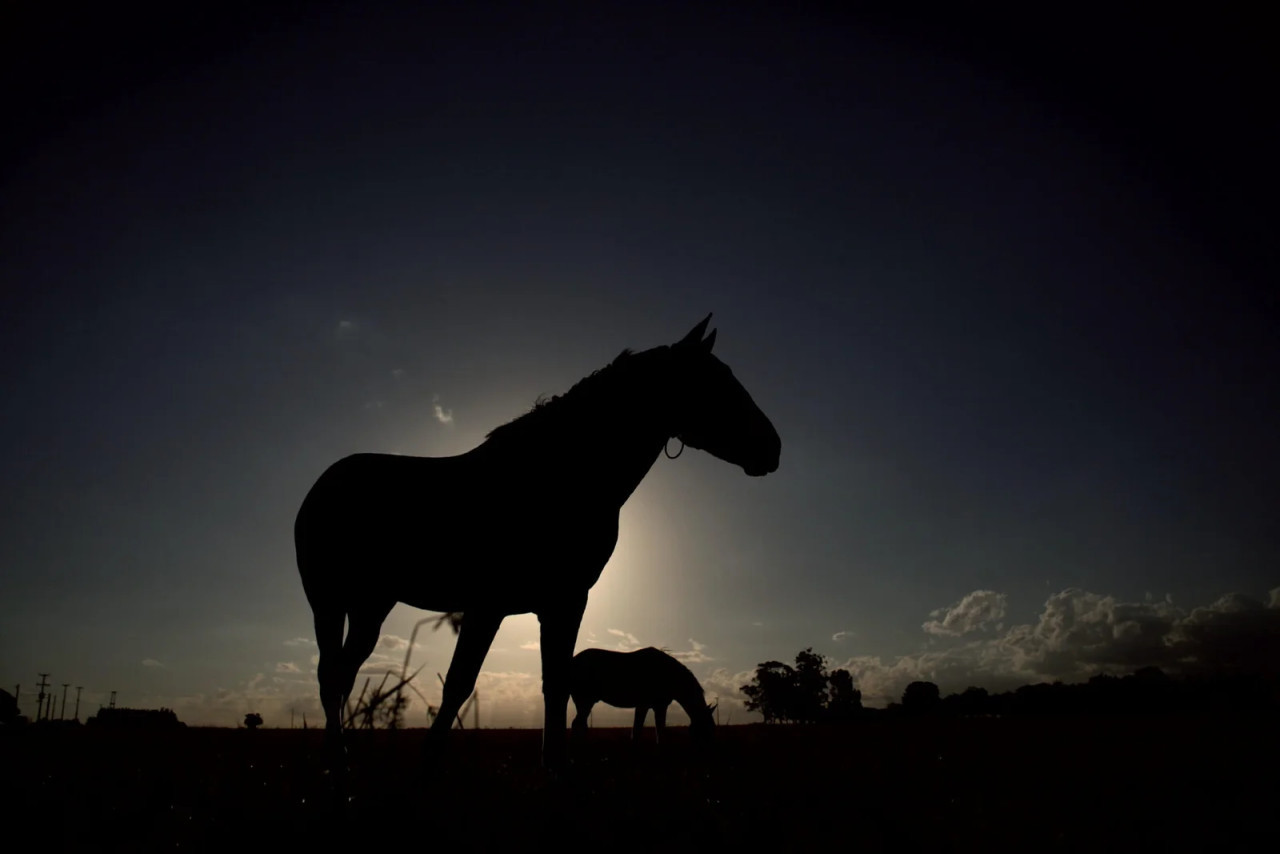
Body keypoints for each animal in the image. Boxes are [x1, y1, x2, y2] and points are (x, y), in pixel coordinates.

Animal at [573, 650, 721, 742]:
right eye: (707, 728)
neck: (668, 674)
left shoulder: (658, 707)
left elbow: (656, 732)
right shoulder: (645, 706)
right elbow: (642, 732)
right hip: (584, 702)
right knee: (577, 726)